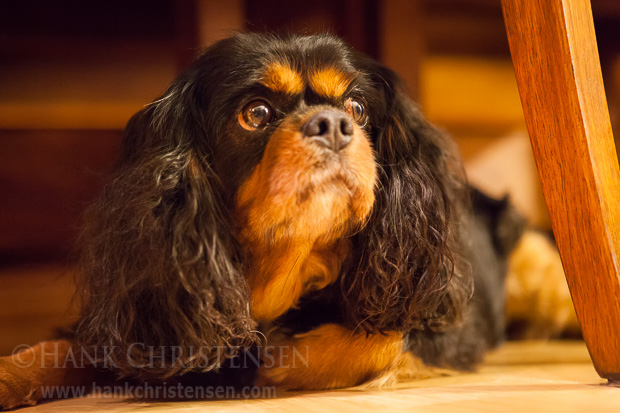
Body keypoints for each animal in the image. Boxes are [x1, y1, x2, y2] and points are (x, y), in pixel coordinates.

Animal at [0, 33, 576, 408]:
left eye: (358, 108)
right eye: (255, 114)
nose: (334, 124)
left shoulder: (439, 332)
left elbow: (358, 342)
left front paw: (250, 365)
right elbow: (65, 346)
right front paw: (10, 376)